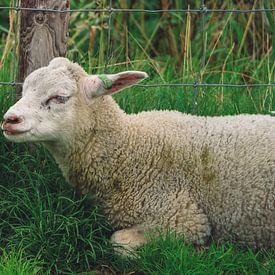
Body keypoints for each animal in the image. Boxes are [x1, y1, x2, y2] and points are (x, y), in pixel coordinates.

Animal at [1, 58, 274, 254]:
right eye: (24, 90)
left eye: (59, 97)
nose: (9, 119)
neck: (129, 149)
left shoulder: (185, 218)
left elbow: (119, 242)